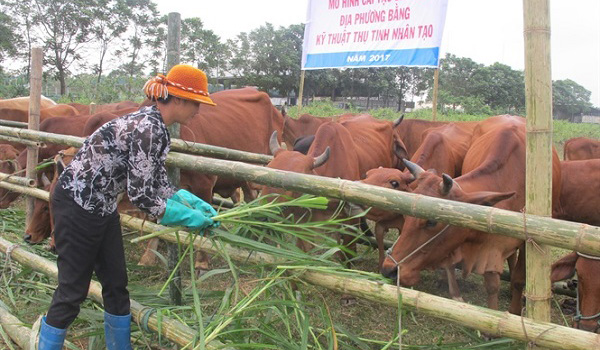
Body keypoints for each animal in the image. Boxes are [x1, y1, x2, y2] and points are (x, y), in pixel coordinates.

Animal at [380, 115, 564, 314]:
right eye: (406, 216)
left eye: (431, 222)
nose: (390, 269)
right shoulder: (487, 242)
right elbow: (491, 284)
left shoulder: (526, 242)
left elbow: (518, 279)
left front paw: (514, 311)